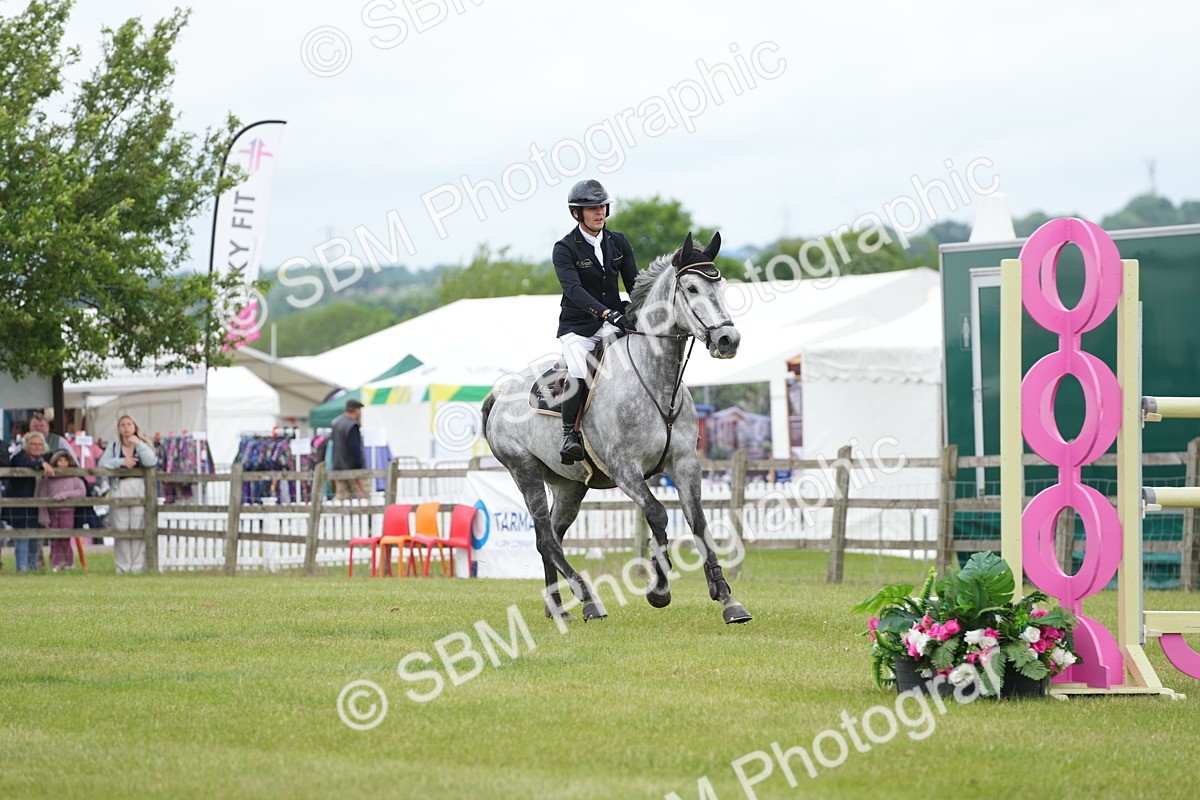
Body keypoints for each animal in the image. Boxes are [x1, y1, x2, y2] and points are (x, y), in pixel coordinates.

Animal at [481, 232, 752, 625]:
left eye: (722, 286)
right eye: (691, 287)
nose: (727, 341)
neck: (656, 380)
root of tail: (499, 396)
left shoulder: (685, 464)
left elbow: (699, 525)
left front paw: (728, 600)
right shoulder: (625, 470)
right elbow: (657, 514)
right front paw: (659, 588)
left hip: (569, 486)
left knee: (551, 535)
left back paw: (557, 607)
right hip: (524, 470)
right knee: (546, 538)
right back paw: (588, 599)